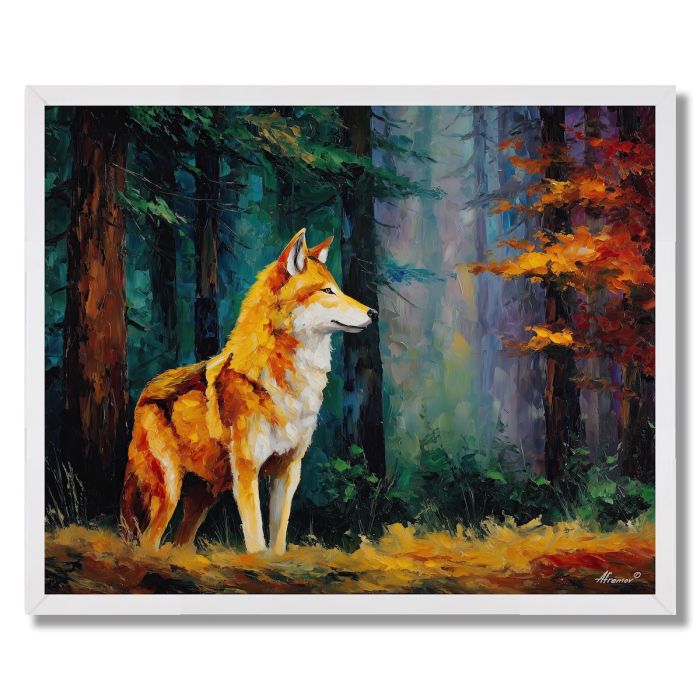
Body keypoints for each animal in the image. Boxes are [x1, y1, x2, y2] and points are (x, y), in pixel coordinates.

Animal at [120, 228, 376, 554]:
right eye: (328, 291)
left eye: (338, 289)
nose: (374, 312)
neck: (284, 377)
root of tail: (146, 389)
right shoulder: (247, 471)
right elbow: (255, 539)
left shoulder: (287, 470)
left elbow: (278, 538)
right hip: (168, 493)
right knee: (147, 542)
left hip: (201, 498)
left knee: (179, 542)